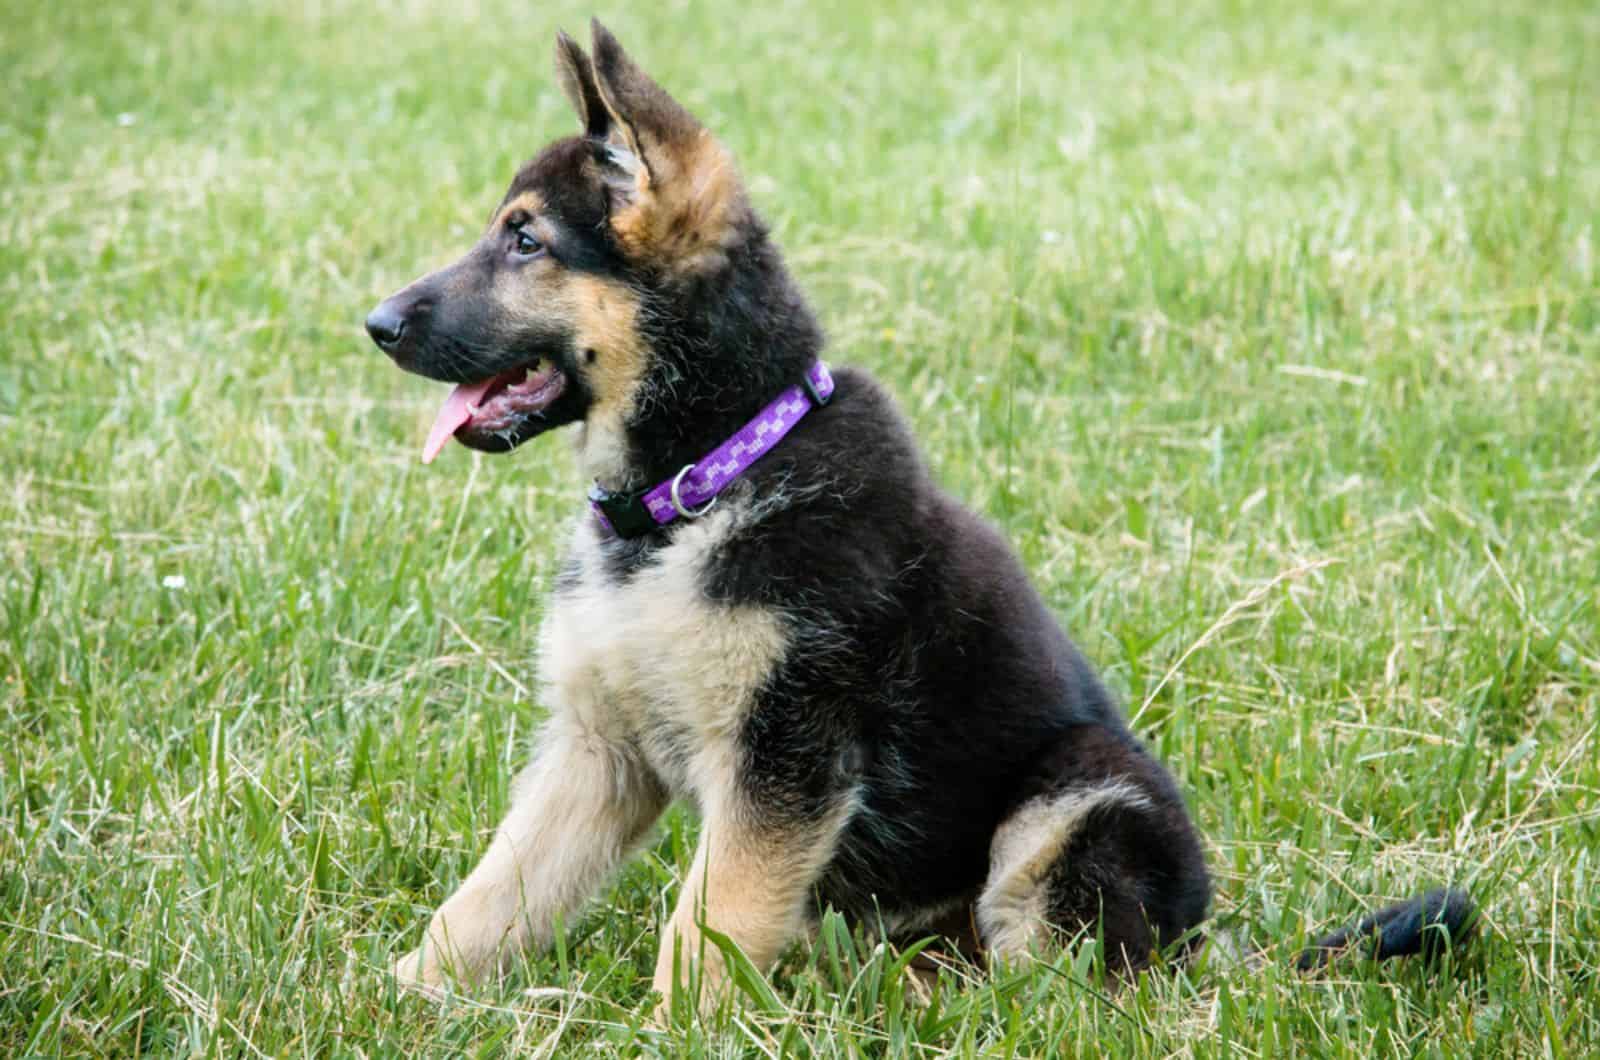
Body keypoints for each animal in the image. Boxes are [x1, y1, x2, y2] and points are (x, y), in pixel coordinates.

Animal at [366, 16, 1472, 1011]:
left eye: (525, 240)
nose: (372, 324)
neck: (698, 484)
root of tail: (1197, 950)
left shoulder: (787, 752)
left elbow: (710, 919)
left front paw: (674, 1029)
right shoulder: (598, 752)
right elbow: (492, 896)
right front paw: (402, 995)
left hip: (1078, 796)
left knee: (1066, 979)